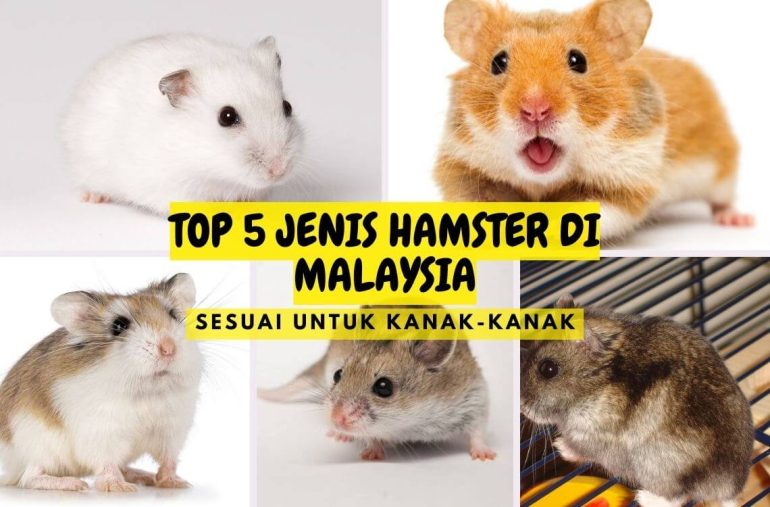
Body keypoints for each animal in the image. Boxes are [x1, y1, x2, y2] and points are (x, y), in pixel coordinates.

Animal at [0, 274, 203, 492]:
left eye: (173, 315)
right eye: (119, 325)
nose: (168, 349)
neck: (147, 391)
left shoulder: (172, 429)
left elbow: (168, 459)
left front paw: (177, 483)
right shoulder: (102, 431)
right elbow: (107, 463)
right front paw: (119, 488)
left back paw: (143, 476)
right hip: (39, 447)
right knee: (30, 477)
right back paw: (75, 484)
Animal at [259, 339, 496, 461]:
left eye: (384, 387)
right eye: (338, 375)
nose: (335, 418)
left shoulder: (475, 399)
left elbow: (477, 431)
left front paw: (485, 456)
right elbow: (372, 437)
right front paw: (371, 455)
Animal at [436, 0, 754, 240]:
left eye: (578, 60)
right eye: (498, 62)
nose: (535, 108)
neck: (543, 182)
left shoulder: (627, 179)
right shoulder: (464, 168)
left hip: (721, 170)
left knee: (722, 199)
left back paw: (737, 220)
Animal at [520, 295, 753, 507]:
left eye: (548, 369)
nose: (522, 407)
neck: (596, 381)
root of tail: (730, 490)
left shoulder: (587, 435)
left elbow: (579, 449)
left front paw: (559, 445)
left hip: (658, 468)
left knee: (678, 496)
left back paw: (643, 497)